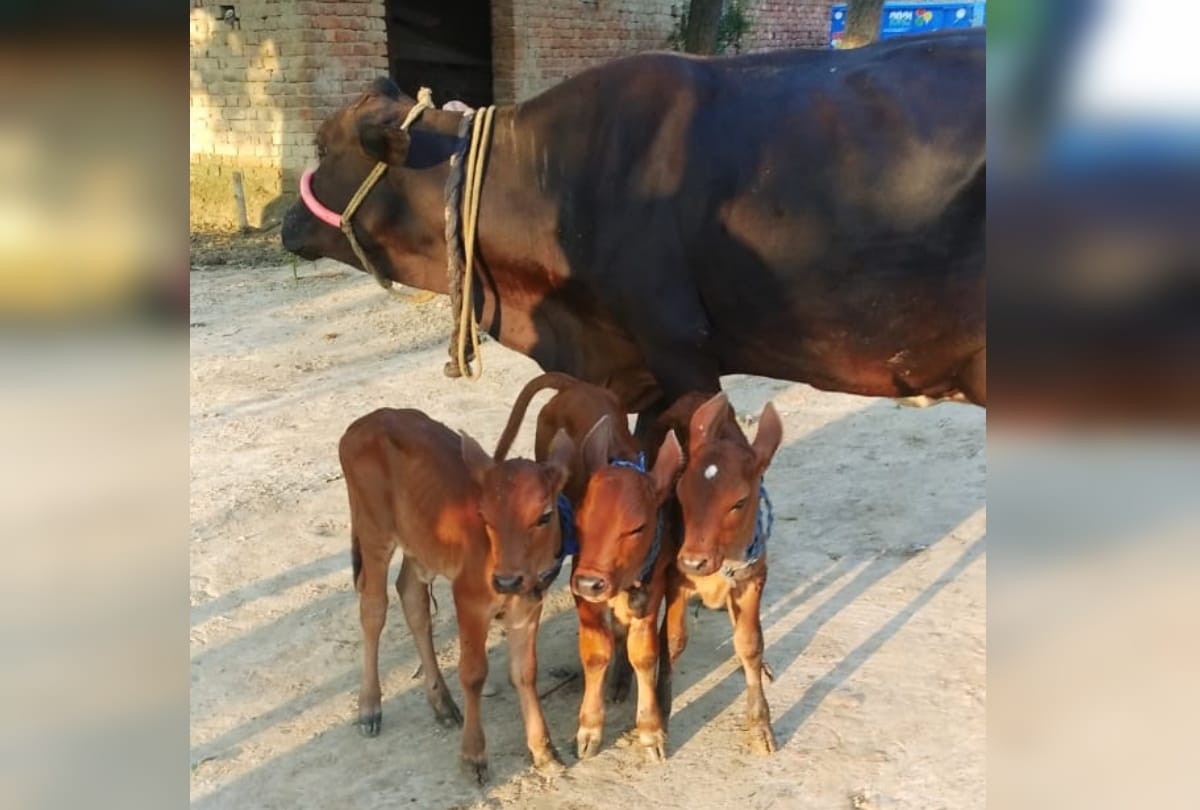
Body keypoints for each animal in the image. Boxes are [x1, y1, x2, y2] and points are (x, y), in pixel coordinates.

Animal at [338, 408, 575, 784]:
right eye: (485, 516)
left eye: (545, 516)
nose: (507, 580)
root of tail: (366, 421)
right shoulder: (470, 599)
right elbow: (474, 673)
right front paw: (473, 755)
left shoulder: (528, 604)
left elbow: (525, 672)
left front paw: (543, 750)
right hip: (373, 531)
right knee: (373, 610)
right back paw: (370, 707)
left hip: (418, 540)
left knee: (412, 598)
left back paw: (442, 702)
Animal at [493, 372, 684, 760]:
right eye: (580, 520)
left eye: (637, 527)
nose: (591, 583)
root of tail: (575, 387)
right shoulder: (581, 591)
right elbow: (596, 652)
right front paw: (590, 729)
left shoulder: (651, 588)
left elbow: (644, 654)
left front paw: (651, 730)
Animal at [655, 391, 784, 753]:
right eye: (680, 493)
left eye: (739, 502)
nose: (694, 561)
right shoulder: (674, 577)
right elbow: (672, 639)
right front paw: (661, 712)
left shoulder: (753, 577)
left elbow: (750, 641)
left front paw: (760, 724)